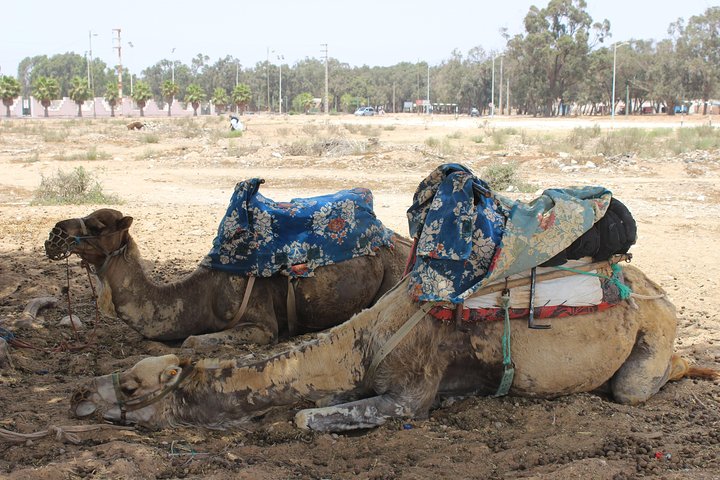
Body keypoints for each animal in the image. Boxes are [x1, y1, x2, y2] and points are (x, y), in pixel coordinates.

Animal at [45, 208, 410, 348]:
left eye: (96, 226)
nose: (54, 235)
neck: (201, 295)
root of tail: (403, 242)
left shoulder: (262, 325)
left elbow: (192, 341)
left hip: (393, 275)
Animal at [71, 265, 718, 432]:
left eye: (130, 385)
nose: (77, 393)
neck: (365, 342)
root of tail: (656, 289)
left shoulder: (408, 390)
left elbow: (304, 417)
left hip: (652, 332)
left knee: (638, 385)